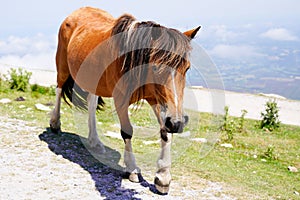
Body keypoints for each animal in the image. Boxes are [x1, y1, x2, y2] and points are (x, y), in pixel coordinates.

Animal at [49, 6, 199, 194]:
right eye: (156, 67)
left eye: (187, 68)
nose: (177, 123)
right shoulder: (121, 99)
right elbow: (127, 131)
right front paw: (132, 169)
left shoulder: (155, 98)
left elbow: (165, 131)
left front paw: (163, 177)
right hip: (62, 65)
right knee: (59, 89)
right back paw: (55, 123)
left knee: (91, 102)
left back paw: (95, 141)